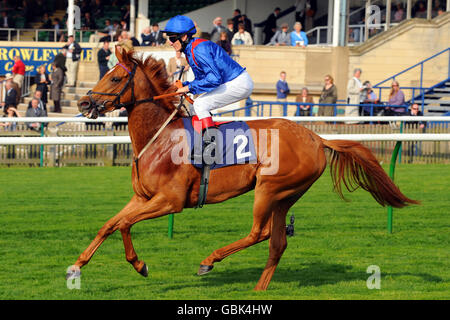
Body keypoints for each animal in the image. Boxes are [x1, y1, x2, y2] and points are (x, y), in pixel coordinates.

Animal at [70, 48, 418, 292]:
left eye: (115, 78)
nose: (84, 104)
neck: (161, 137)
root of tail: (317, 137)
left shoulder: (170, 201)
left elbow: (124, 225)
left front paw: (139, 264)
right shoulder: (143, 197)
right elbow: (109, 225)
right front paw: (76, 267)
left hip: (269, 188)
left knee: (259, 232)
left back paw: (209, 261)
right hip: (286, 196)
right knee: (277, 242)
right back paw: (259, 288)